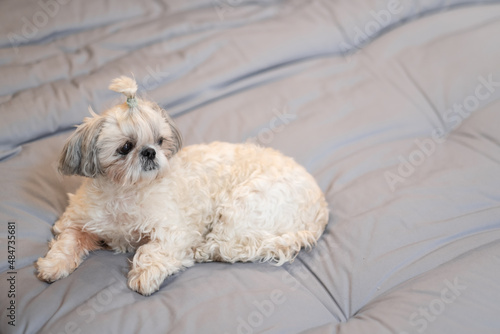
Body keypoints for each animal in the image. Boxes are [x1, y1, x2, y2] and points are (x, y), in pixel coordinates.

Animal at [37, 75, 330, 294]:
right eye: (126, 147)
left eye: (160, 140)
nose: (149, 152)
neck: (126, 191)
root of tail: (320, 209)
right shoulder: (77, 219)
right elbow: (68, 240)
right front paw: (53, 265)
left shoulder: (174, 230)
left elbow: (152, 249)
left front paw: (146, 274)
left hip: (242, 207)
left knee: (233, 246)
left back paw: (203, 250)